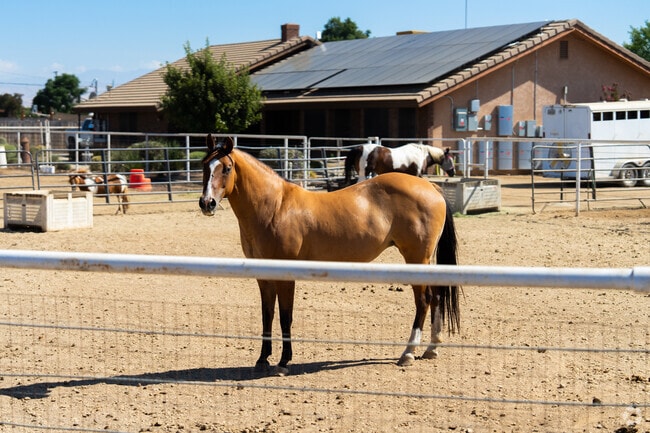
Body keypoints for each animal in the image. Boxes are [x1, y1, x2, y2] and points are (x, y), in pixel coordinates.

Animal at [199, 135, 460, 376]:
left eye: (227, 168)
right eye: (204, 165)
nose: (207, 203)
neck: (275, 207)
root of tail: (431, 188)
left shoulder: (285, 277)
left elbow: (285, 316)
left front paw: (284, 362)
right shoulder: (263, 277)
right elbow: (267, 315)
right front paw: (263, 360)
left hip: (416, 258)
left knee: (424, 300)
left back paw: (408, 353)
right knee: (437, 297)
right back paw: (431, 348)